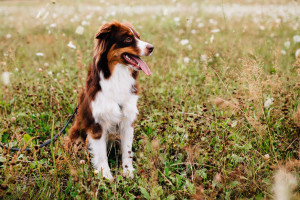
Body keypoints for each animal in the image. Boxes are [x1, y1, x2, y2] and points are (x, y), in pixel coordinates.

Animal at [67, 21, 154, 180]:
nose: (151, 47)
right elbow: (101, 154)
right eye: (128, 39)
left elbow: (127, 151)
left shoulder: (127, 121)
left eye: (138, 37)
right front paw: (105, 175)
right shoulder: (96, 124)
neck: (117, 75)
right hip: (77, 136)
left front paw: (128, 171)